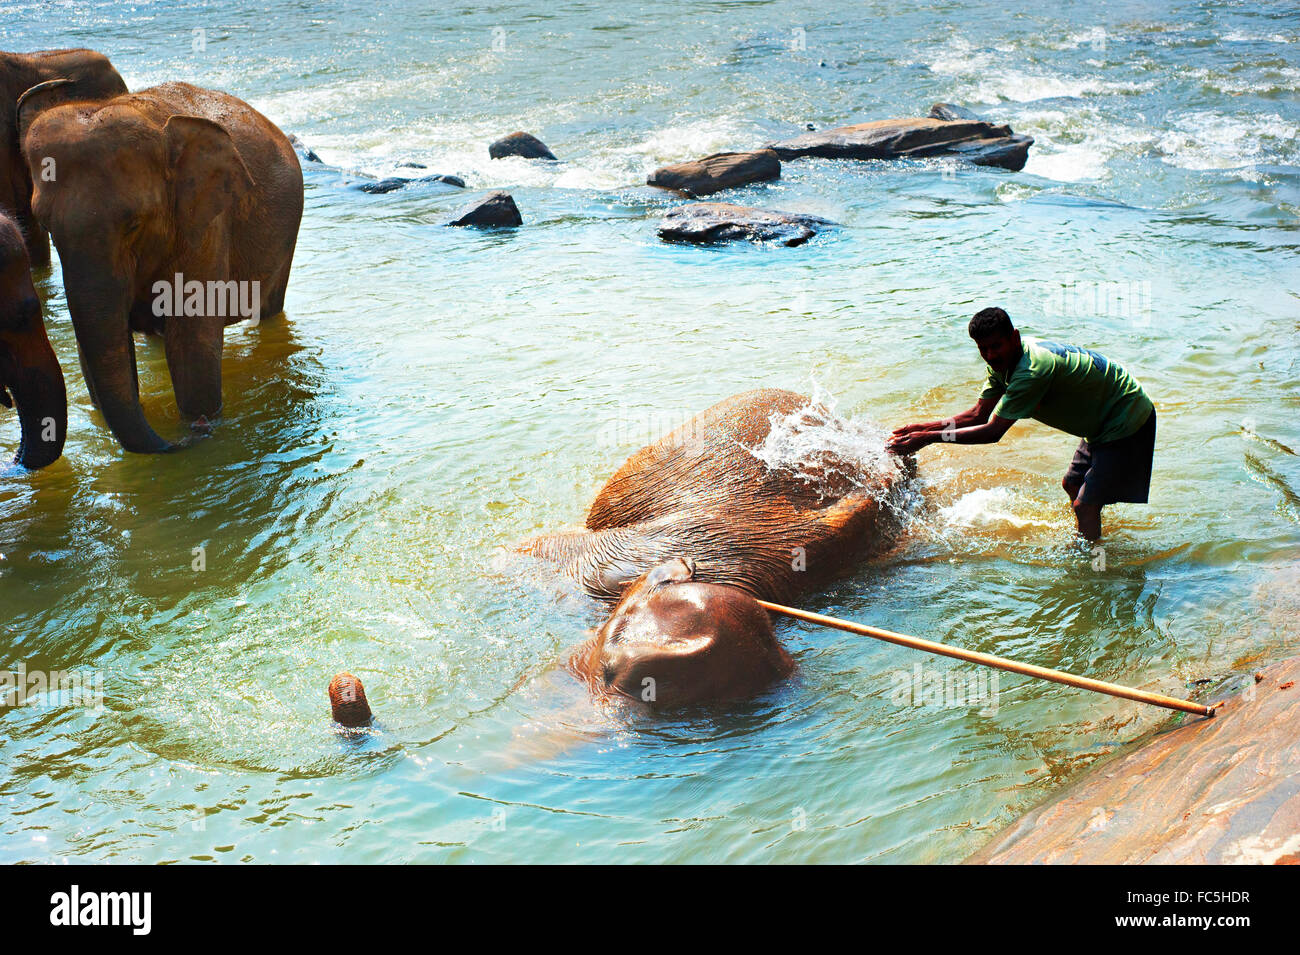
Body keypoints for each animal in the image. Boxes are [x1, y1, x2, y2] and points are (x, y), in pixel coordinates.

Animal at [20, 81, 303, 453]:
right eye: (45, 225)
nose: (193, 433)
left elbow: (191, 340)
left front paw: (202, 421)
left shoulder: (206, 222)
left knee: (270, 308)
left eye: (134, 224)